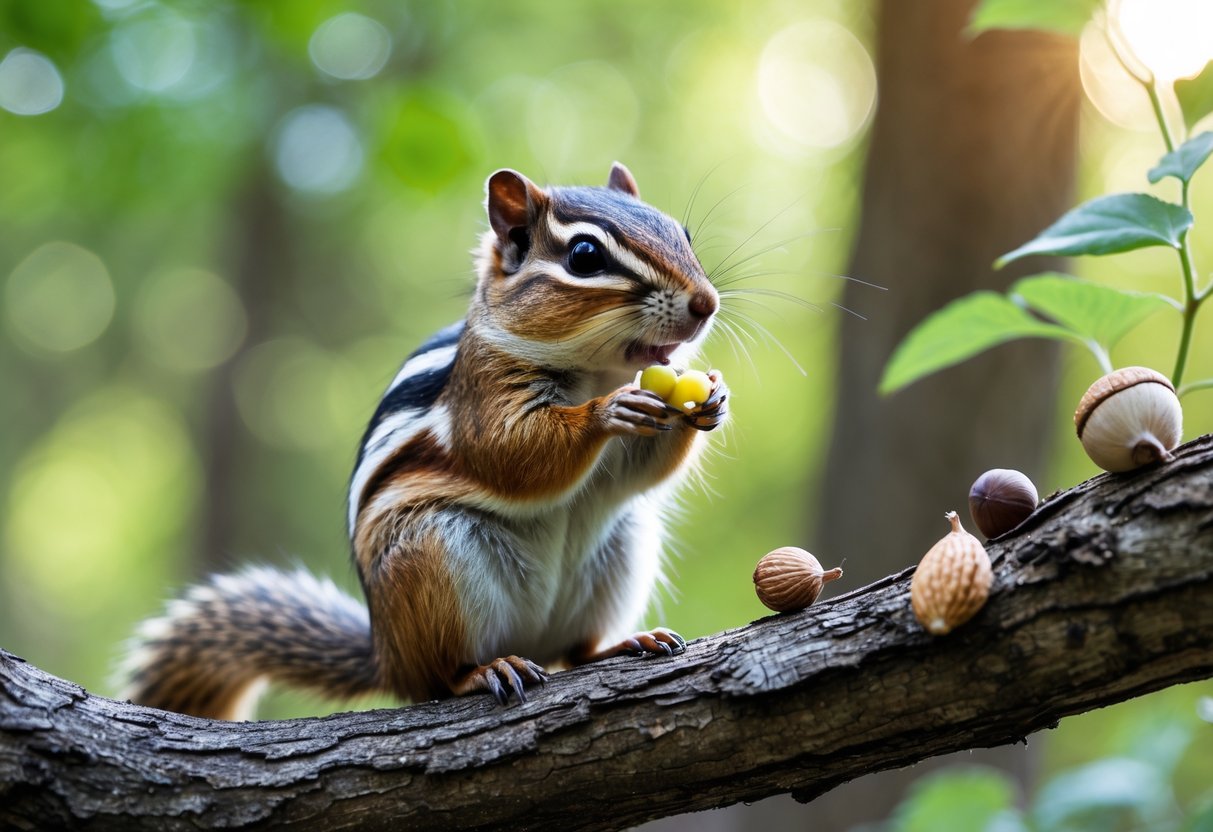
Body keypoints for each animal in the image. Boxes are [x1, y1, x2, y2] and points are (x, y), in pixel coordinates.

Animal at [121, 162, 728, 719]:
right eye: (584, 256)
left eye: (683, 233)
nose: (706, 303)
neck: (598, 372)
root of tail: (385, 655)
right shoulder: (481, 396)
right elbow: (511, 453)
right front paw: (607, 412)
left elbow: (641, 471)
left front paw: (713, 398)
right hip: (431, 557)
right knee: (435, 680)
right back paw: (484, 671)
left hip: (622, 546)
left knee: (573, 652)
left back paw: (621, 644)